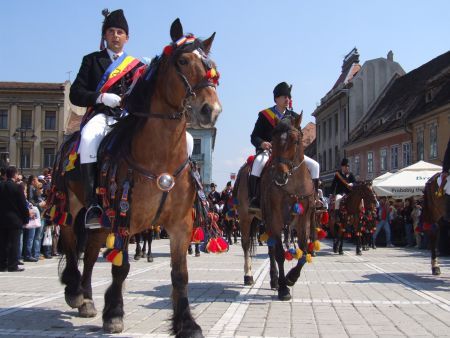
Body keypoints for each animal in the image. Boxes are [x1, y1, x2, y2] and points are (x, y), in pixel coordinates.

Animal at [52, 19, 221, 336]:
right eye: (183, 61)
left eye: (212, 66)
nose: (211, 111)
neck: (161, 156)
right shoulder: (125, 218)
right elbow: (121, 268)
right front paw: (114, 313)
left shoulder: (180, 225)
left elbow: (180, 275)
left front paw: (186, 323)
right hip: (70, 204)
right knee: (70, 243)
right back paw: (75, 291)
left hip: (100, 219)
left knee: (90, 253)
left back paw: (87, 299)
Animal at [234, 115, 314, 300]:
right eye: (273, 139)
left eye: (295, 140)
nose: (280, 175)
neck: (293, 184)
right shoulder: (275, 216)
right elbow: (279, 254)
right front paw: (284, 289)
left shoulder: (303, 218)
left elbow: (304, 250)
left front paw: (291, 277)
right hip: (246, 217)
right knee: (246, 244)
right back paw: (249, 276)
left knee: (270, 249)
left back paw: (274, 280)